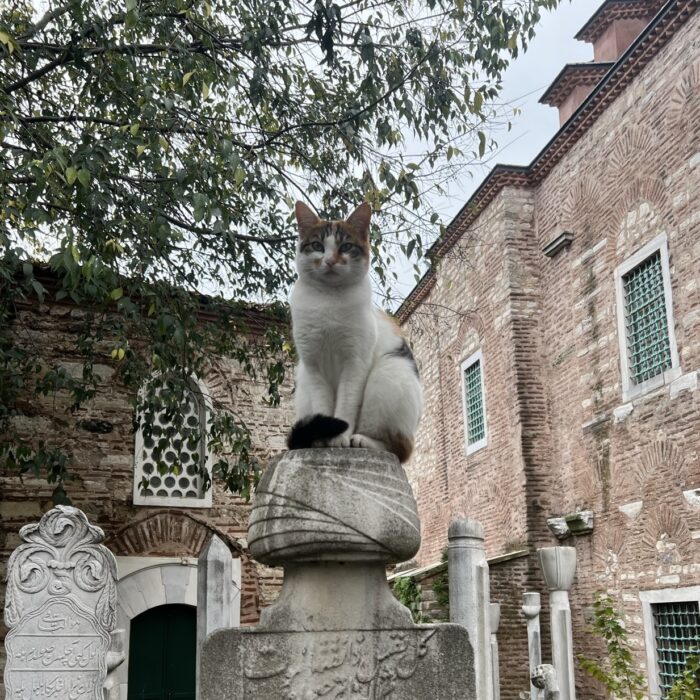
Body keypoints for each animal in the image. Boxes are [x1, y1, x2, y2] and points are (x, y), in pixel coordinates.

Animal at [288, 200, 424, 462]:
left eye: (346, 246)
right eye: (317, 246)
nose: (330, 260)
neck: (328, 301)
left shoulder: (354, 363)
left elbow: (345, 405)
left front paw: (340, 437)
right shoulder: (314, 365)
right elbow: (324, 406)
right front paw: (323, 439)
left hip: (388, 375)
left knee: (400, 448)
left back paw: (362, 440)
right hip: (304, 383)